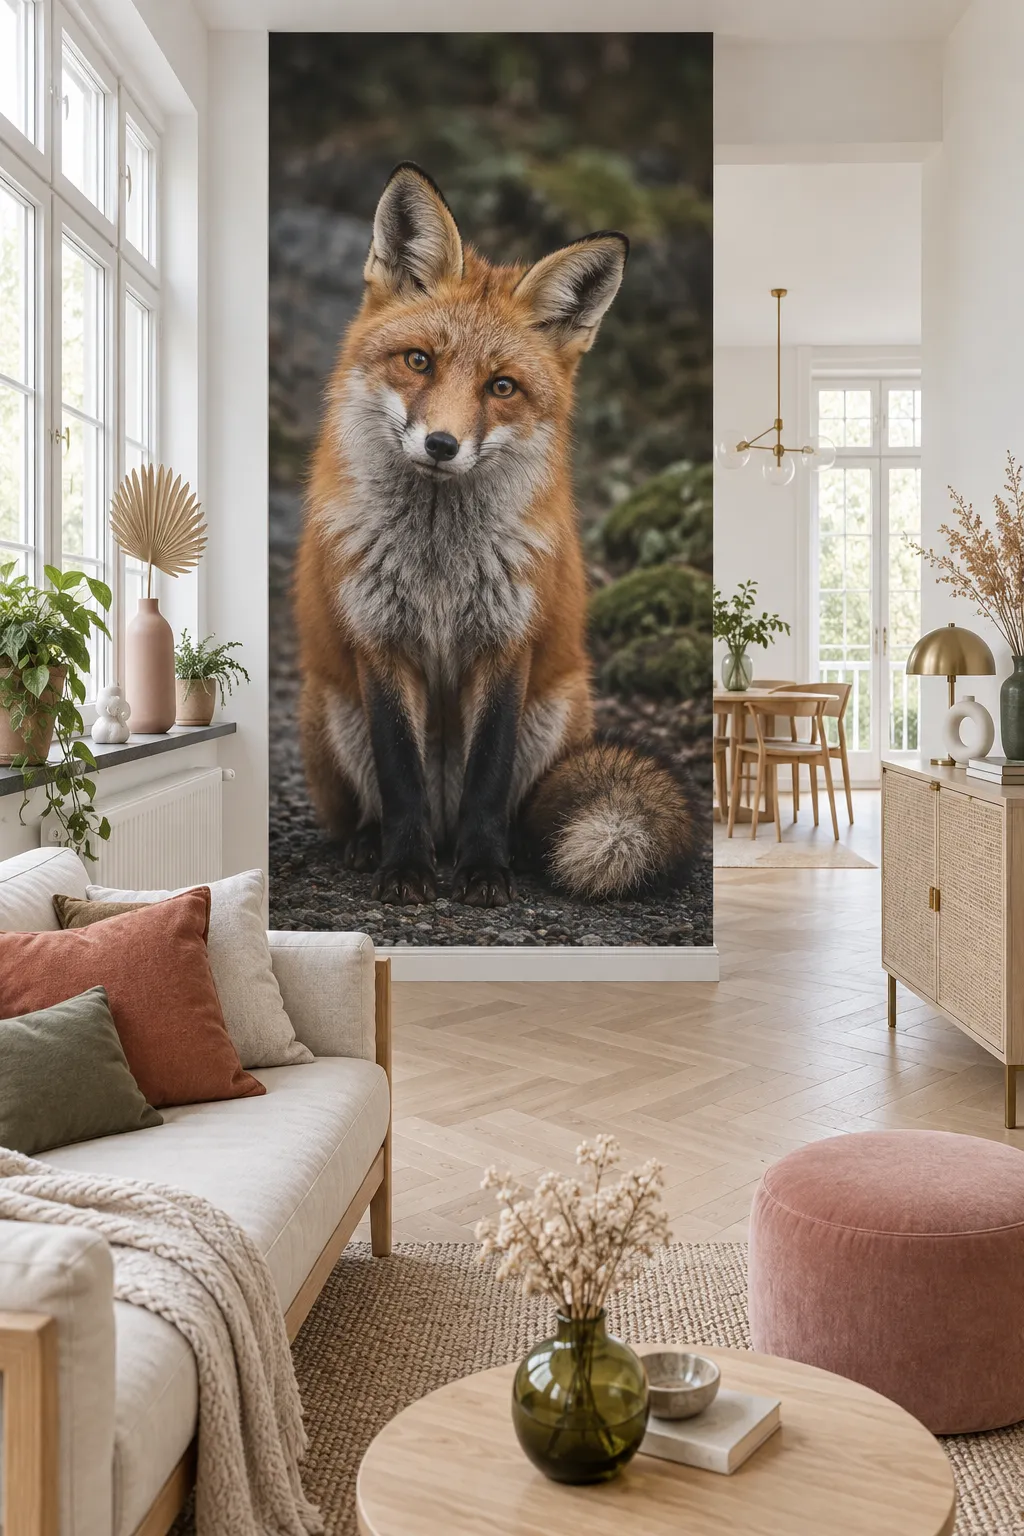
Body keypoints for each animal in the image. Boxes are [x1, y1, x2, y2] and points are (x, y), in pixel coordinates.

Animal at [294, 161, 693, 908]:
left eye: (501, 386)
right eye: (418, 361)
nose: (442, 445)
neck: (438, 565)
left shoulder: (507, 643)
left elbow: (488, 771)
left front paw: (483, 871)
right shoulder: (379, 641)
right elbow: (400, 775)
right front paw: (405, 869)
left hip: (558, 708)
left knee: (516, 810)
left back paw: (506, 850)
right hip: (331, 708)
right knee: (372, 805)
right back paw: (370, 843)